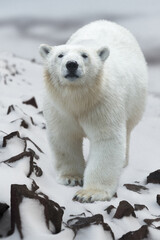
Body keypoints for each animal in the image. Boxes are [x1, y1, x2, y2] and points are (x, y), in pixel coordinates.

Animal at [38, 20, 148, 202]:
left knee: (127, 129)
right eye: (60, 55)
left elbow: (107, 140)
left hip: (135, 102)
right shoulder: (59, 108)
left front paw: (89, 193)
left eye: (84, 55)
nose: (72, 64)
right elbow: (64, 137)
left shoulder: (103, 104)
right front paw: (72, 177)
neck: (79, 99)